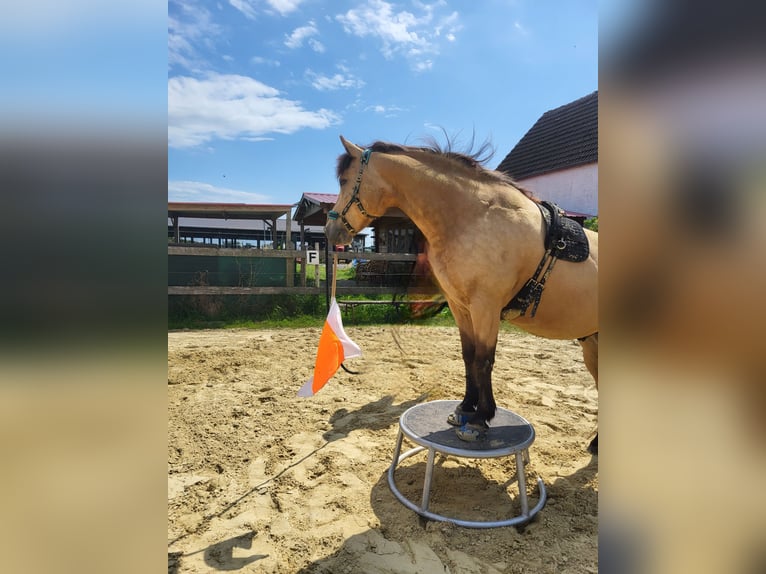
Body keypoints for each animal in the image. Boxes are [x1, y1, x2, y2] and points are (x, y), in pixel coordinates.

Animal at [325, 136, 599, 454]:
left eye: (345, 180)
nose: (331, 231)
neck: (474, 218)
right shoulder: (461, 307)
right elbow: (469, 356)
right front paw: (466, 408)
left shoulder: (485, 308)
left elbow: (484, 360)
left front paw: (481, 419)